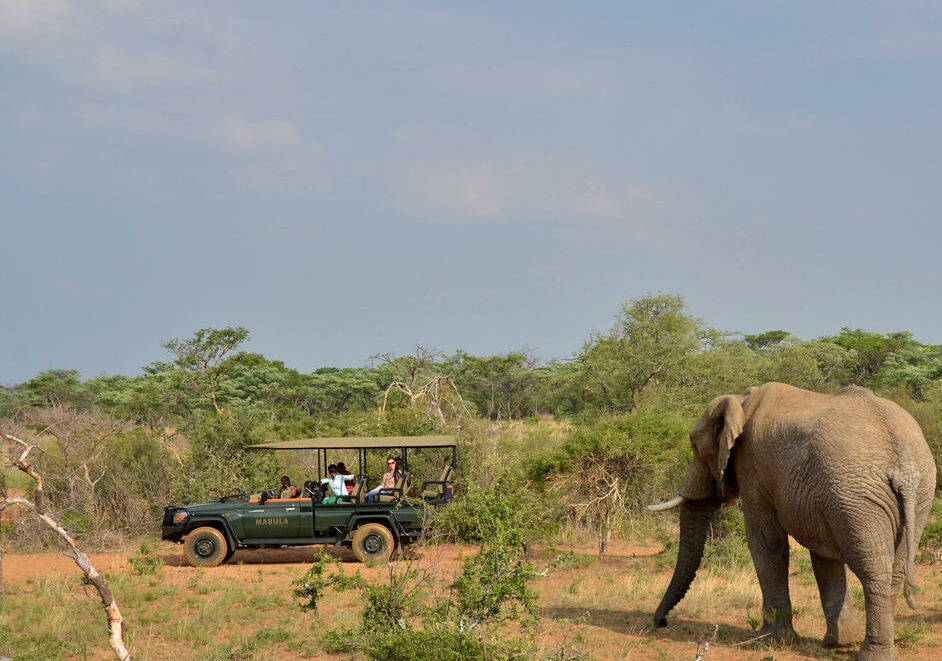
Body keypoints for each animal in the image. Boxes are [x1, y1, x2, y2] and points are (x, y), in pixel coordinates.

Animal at [652, 382, 940, 660]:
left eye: (693, 445)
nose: (660, 622)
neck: (741, 400)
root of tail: (902, 453)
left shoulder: (753, 466)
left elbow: (766, 541)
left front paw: (772, 639)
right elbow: (824, 556)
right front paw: (837, 642)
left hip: (860, 495)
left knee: (873, 569)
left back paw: (873, 655)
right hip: (910, 492)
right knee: (893, 570)